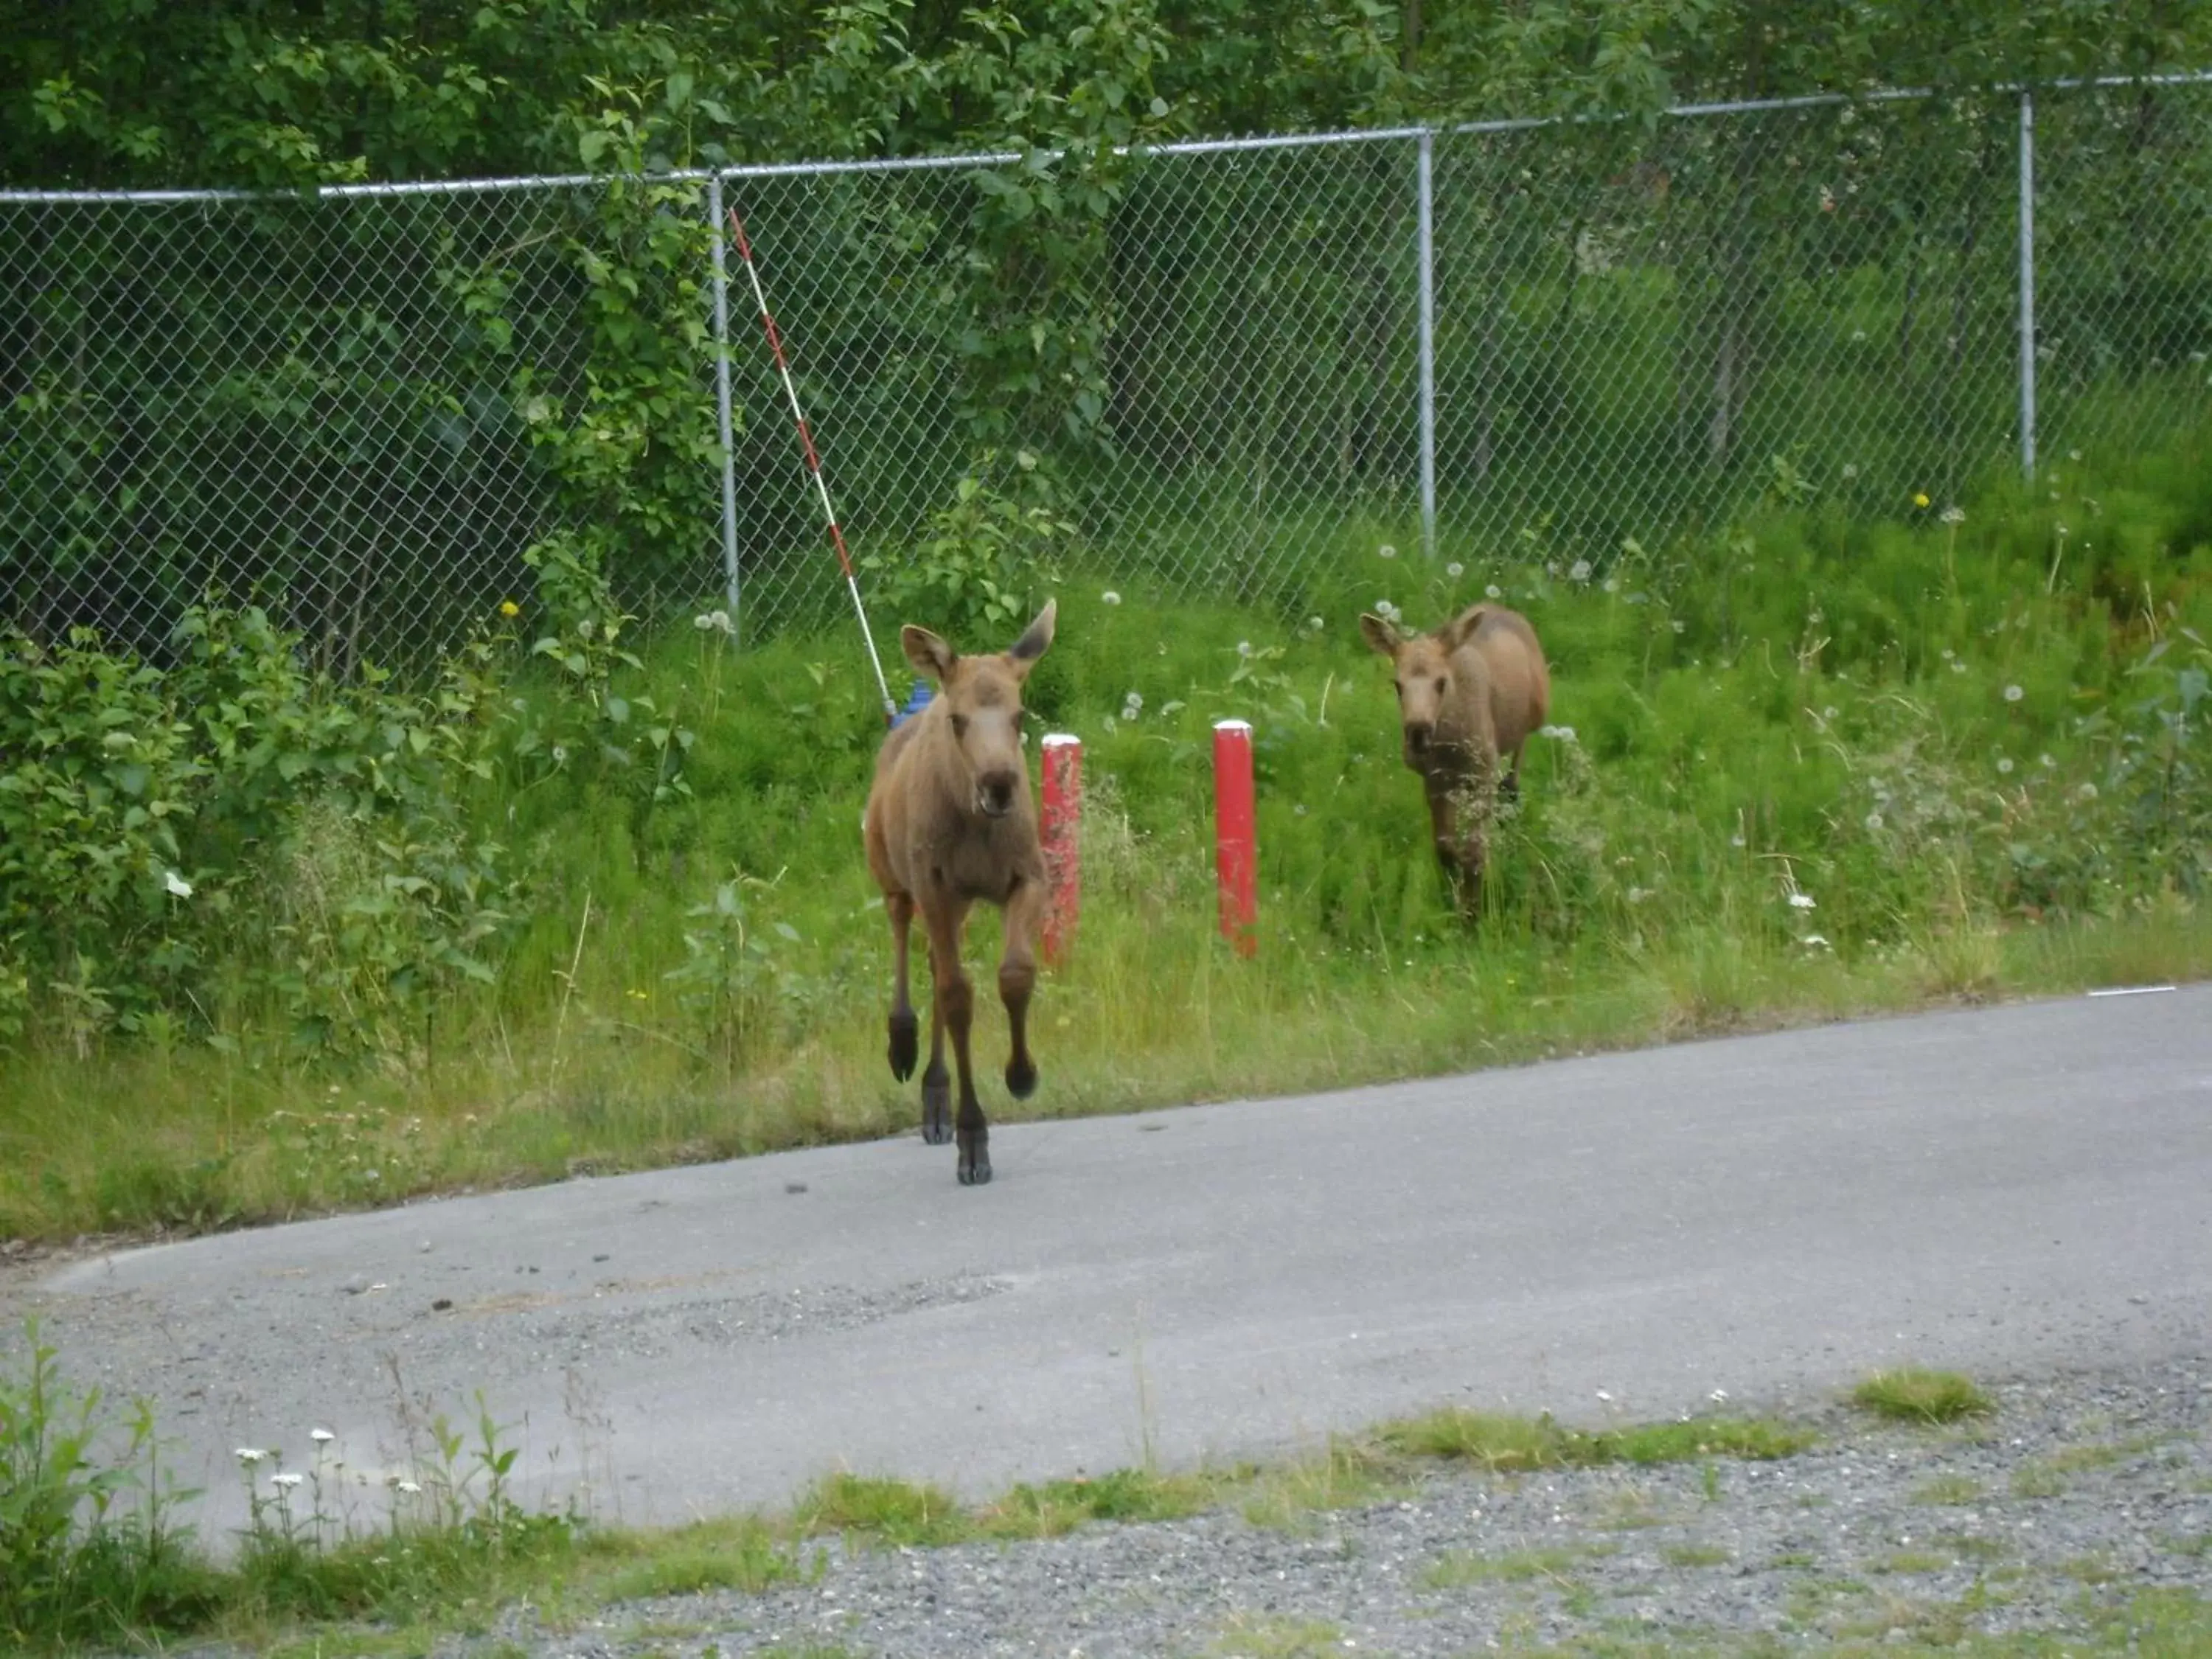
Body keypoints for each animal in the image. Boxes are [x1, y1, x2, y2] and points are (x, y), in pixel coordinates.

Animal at [858, 606, 1057, 1186]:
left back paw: (935, 1099)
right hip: (896, 878)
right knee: (906, 942)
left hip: (960, 903)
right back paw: (903, 1045)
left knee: (934, 960)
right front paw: (973, 1139)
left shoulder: (1028, 877)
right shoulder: (934, 884)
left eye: (1019, 714)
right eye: (958, 720)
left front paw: (1021, 1073)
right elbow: (957, 997)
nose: (999, 783)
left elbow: (1014, 973)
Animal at [1354, 602, 1548, 916]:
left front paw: (1473, 911)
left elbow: (1475, 852)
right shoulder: (1435, 779)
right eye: (1397, 684)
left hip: (1531, 722)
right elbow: (1445, 848)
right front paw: (1453, 895)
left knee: (1514, 775)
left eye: (1441, 682)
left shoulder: (1483, 772)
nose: (1418, 733)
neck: (1450, 743)